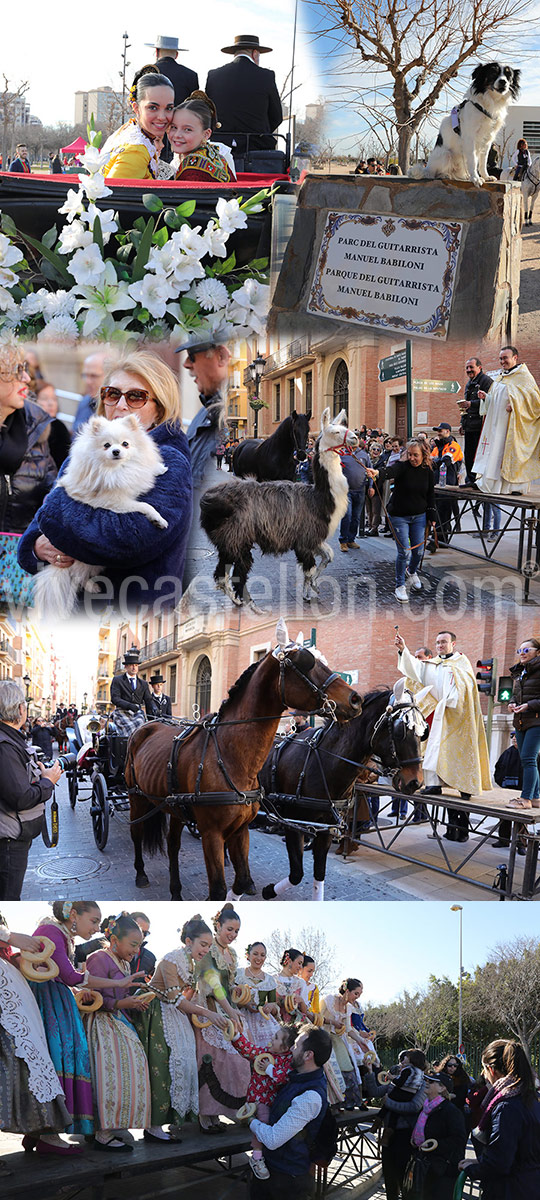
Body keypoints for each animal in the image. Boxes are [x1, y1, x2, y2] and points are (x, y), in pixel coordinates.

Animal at [34, 415, 169, 619]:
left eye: (125, 444)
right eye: (106, 445)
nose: (116, 451)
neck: (116, 469)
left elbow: (142, 472)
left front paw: (158, 468)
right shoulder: (115, 502)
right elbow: (145, 505)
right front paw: (158, 518)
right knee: (77, 576)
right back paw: (92, 586)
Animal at [121, 624, 357, 897]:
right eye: (306, 662)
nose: (355, 699)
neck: (230, 756)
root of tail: (146, 726)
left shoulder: (241, 829)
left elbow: (242, 880)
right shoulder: (212, 833)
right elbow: (219, 890)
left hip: (175, 807)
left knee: (172, 844)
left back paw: (176, 890)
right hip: (137, 797)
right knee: (136, 833)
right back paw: (141, 873)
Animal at [256, 686, 427, 902]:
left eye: (424, 731)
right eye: (400, 729)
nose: (416, 782)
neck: (321, 761)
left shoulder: (326, 828)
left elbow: (319, 873)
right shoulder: (292, 824)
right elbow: (296, 874)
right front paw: (269, 890)